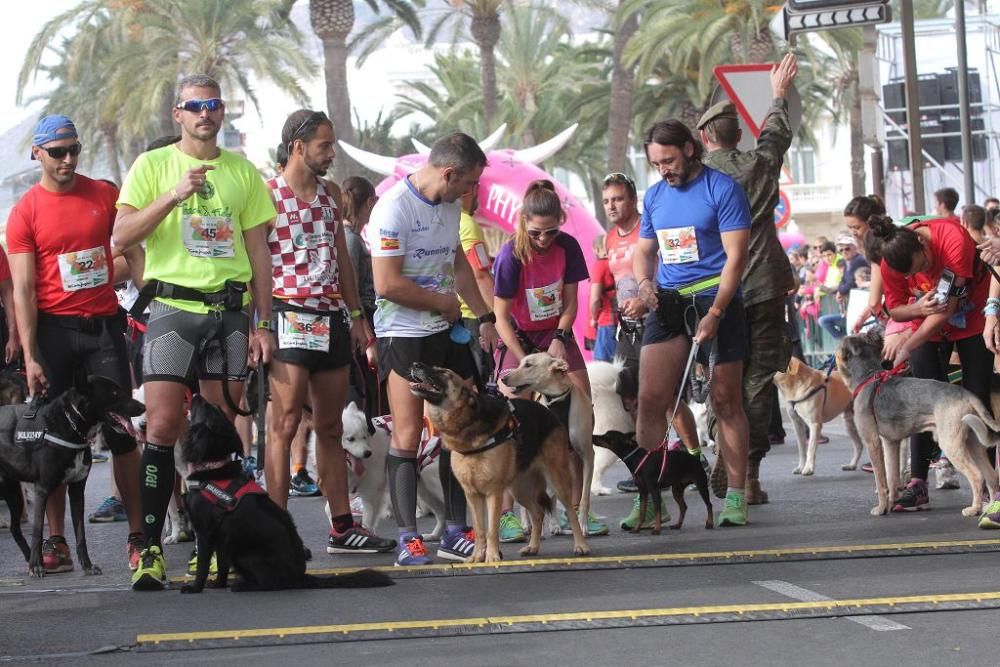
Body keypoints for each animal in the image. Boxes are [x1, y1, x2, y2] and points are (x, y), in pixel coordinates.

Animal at [0, 378, 145, 576]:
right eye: (115, 393)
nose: (143, 407)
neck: (71, 426)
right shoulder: (42, 490)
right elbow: (37, 531)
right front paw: (36, 566)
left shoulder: (77, 491)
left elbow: (80, 533)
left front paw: (87, 566)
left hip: (13, 494)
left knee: (15, 528)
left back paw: (30, 557)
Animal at [182, 394, 392, 592]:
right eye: (351, 439)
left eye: (365, 436)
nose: (367, 453)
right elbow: (330, 508)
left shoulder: (373, 490)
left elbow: (368, 518)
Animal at [410, 366, 588, 564]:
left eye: (444, 372)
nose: (415, 364)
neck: (467, 425)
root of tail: (549, 413)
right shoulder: (472, 495)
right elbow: (480, 530)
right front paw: (477, 556)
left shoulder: (493, 493)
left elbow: (491, 529)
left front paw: (492, 556)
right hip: (520, 490)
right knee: (537, 513)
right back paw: (533, 547)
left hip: (557, 480)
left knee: (571, 512)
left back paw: (581, 545)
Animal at [500, 352, 592, 528]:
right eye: (520, 363)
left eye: (528, 365)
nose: (503, 378)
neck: (557, 400)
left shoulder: (587, 454)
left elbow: (585, 494)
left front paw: (583, 522)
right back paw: (529, 524)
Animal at [840, 332, 996, 520]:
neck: (868, 377)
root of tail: (965, 393)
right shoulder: (890, 443)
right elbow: (892, 477)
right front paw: (892, 503)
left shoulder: (873, 443)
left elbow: (881, 481)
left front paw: (881, 508)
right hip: (974, 442)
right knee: (992, 476)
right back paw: (991, 508)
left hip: (951, 444)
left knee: (977, 476)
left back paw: (974, 509)